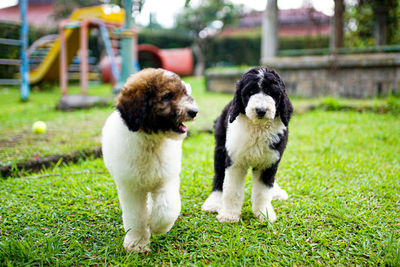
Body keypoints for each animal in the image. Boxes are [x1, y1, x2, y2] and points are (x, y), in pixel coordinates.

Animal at [102, 68, 198, 253]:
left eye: (185, 93)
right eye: (167, 96)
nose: (194, 111)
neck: (152, 142)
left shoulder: (165, 179)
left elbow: (167, 207)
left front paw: (157, 226)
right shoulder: (131, 187)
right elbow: (135, 216)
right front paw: (137, 244)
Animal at [203, 67, 294, 224]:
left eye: (272, 93)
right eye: (251, 92)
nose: (261, 110)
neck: (257, 128)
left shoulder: (269, 162)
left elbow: (263, 190)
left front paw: (264, 213)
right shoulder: (235, 161)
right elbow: (232, 190)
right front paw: (229, 215)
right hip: (220, 148)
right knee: (219, 175)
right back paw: (214, 201)